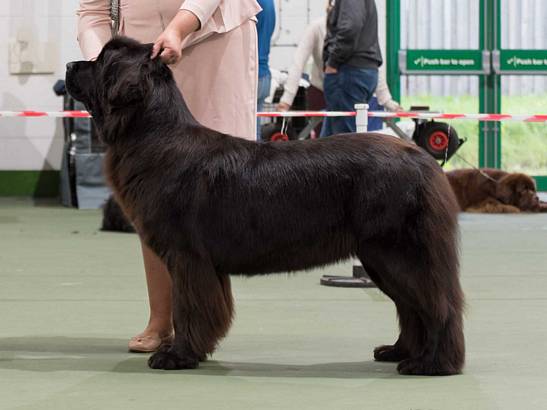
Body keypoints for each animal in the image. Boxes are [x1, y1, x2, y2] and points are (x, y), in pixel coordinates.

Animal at [65, 37, 465, 375]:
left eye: (103, 59)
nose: (69, 64)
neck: (154, 135)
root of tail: (423, 160)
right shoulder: (203, 263)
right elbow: (208, 308)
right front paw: (195, 351)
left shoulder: (187, 255)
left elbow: (187, 306)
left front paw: (177, 356)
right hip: (380, 257)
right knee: (411, 307)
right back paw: (399, 351)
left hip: (397, 250)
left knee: (436, 305)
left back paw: (431, 364)